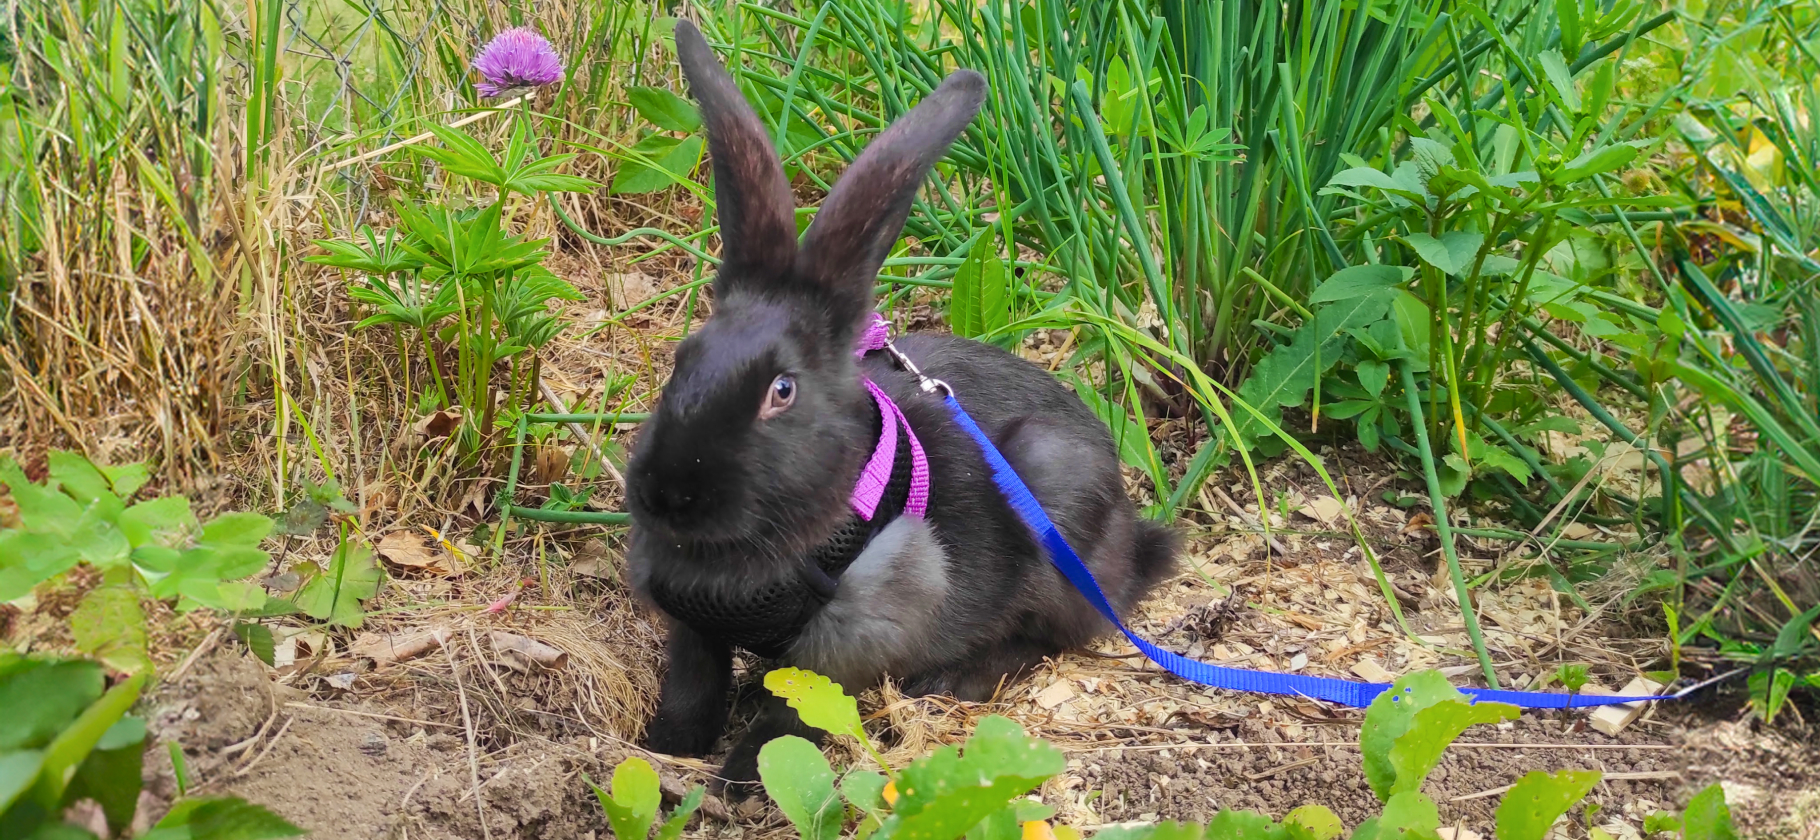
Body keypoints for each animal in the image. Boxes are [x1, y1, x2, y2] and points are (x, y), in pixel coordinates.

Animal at [618, 19, 1172, 792]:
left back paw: (952, 679)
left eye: (781, 391)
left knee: (1053, 635)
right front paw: (667, 745)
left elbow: (795, 712)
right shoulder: (693, 630)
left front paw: (741, 777)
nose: (668, 495)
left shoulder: (862, 624)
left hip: (1054, 504)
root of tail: (1135, 541)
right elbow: (693, 686)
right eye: (682, 359)